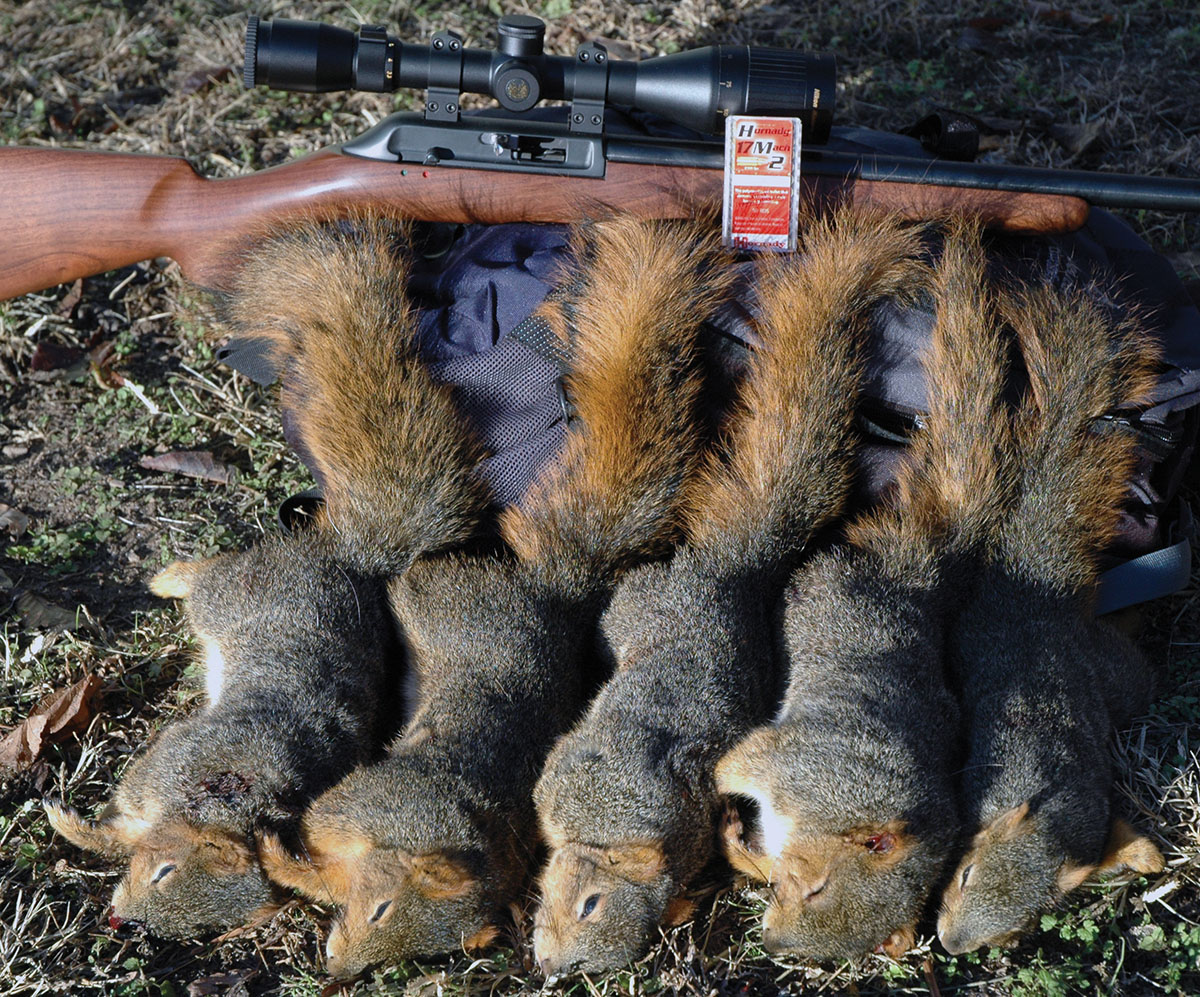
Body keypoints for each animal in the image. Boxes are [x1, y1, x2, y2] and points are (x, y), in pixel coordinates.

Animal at [44, 216, 491, 939]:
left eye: (193, 919)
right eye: (163, 870)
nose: (122, 919)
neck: (227, 798)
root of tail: (339, 557)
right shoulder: (168, 760)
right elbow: (125, 808)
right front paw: (75, 825)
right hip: (233, 594)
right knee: (207, 578)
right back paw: (169, 576)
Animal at [255, 215, 730, 978]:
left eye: (407, 949)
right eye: (379, 908)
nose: (336, 970)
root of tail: (545, 584)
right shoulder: (368, 807)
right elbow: (322, 835)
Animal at [714, 219, 1017, 963]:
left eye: (831, 945)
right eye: (818, 887)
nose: (773, 937)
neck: (834, 809)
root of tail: (923, 560)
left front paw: (742, 850)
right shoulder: (791, 765)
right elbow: (735, 761)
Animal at [935, 273, 1165, 954]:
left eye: (1014, 927)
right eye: (963, 873)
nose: (951, 946)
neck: (1051, 802)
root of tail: (1039, 594)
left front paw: (1145, 858)